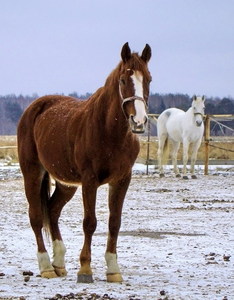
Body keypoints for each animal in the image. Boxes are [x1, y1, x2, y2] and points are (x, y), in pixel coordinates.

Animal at [16, 42, 152, 284]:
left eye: (148, 79)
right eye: (123, 80)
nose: (139, 121)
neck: (108, 131)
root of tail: (34, 108)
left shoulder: (122, 179)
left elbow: (114, 222)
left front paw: (113, 270)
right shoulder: (90, 180)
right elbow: (90, 222)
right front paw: (85, 270)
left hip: (66, 183)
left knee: (52, 211)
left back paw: (59, 264)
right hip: (32, 172)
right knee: (36, 217)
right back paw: (46, 267)